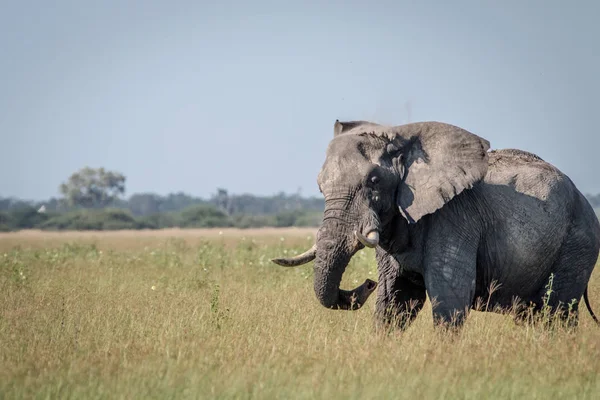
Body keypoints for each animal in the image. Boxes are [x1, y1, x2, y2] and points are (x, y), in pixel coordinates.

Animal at [272, 120, 600, 330]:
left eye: (374, 181)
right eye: (320, 187)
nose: (367, 283)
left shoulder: (455, 218)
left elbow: (450, 299)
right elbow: (394, 300)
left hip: (578, 243)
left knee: (557, 310)